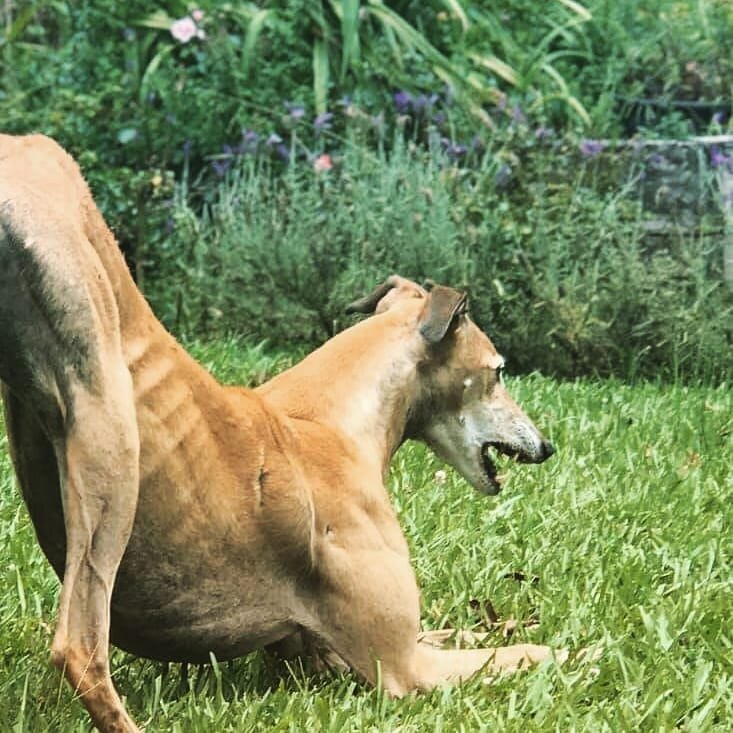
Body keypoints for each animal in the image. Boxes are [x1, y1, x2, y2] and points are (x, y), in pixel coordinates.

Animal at [0, 133, 552, 732]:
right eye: (498, 371)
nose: (547, 447)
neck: (331, 421)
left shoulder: (332, 654)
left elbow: (475, 631)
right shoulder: (404, 668)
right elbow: (540, 652)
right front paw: (577, 652)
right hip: (110, 435)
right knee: (79, 648)